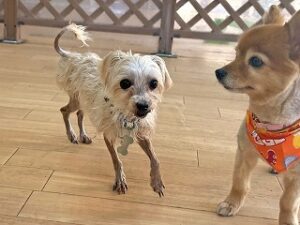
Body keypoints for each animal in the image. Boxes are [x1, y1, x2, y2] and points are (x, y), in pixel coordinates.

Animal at [54, 23, 173, 196]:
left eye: (154, 83)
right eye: (124, 83)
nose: (143, 105)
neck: (128, 116)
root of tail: (74, 57)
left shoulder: (141, 133)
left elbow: (155, 159)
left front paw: (156, 181)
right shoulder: (108, 135)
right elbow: (117, 160)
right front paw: (120, 180)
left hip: (84, 101)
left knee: (79, 114)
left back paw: (83, 135)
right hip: (78, 100)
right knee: (64, 111)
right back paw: (72, 135)